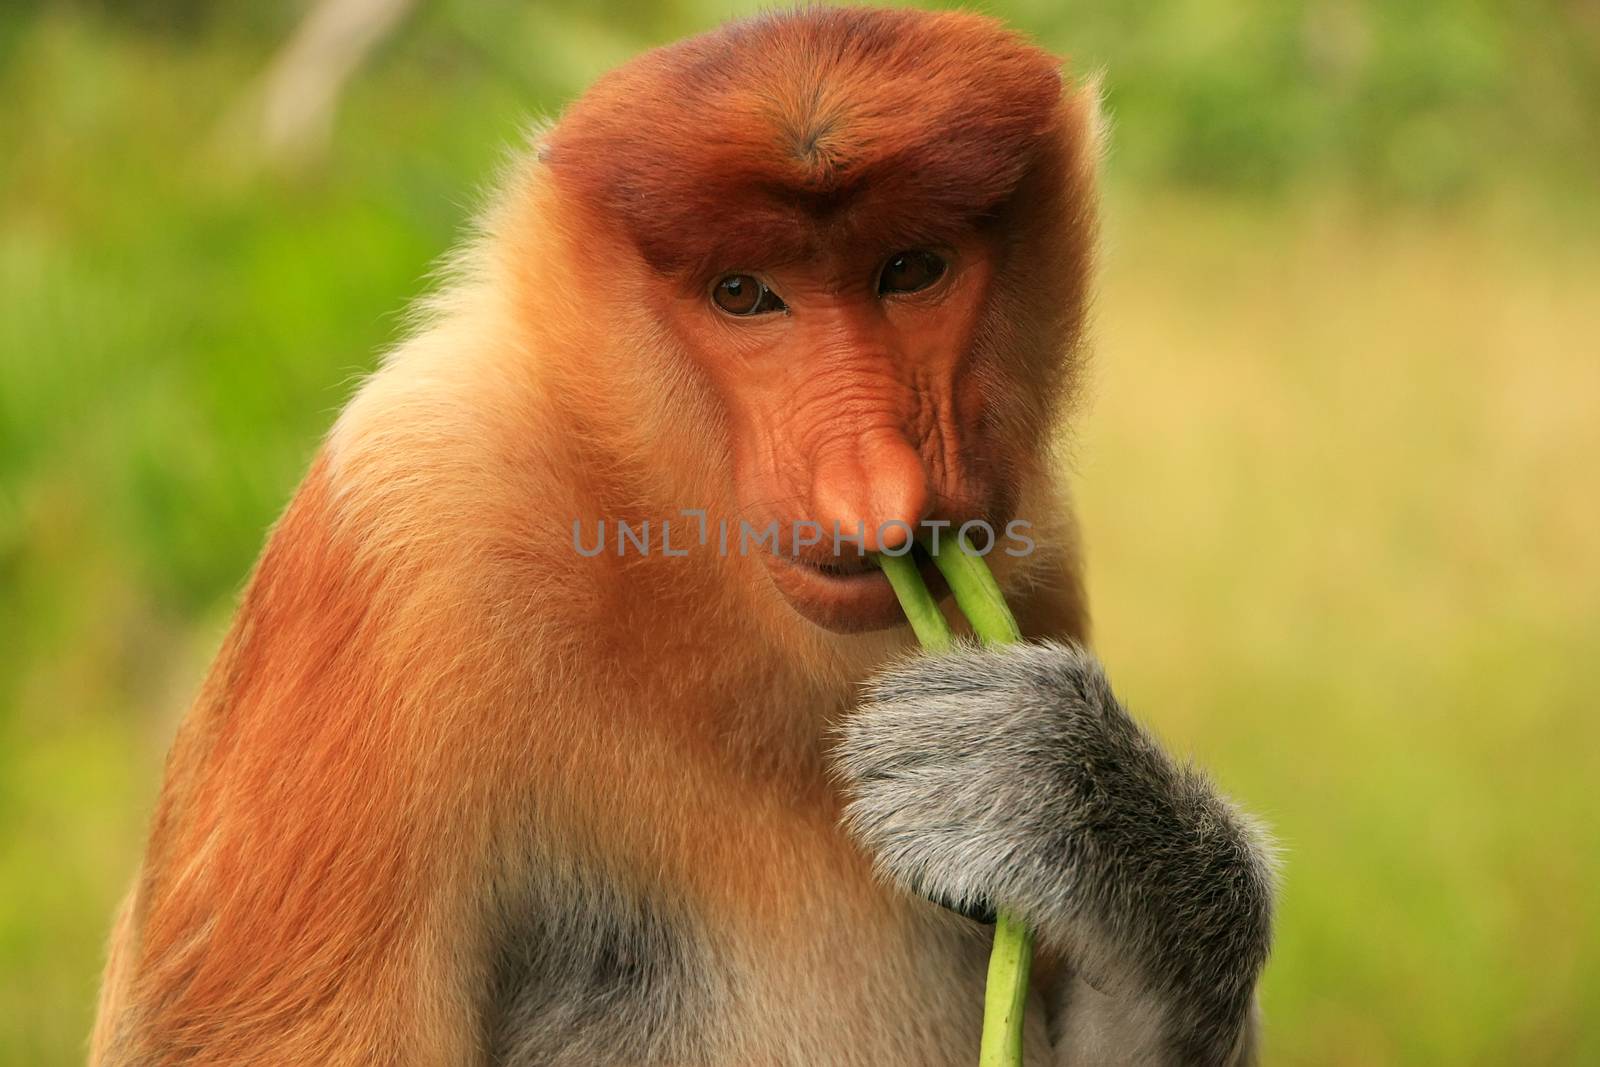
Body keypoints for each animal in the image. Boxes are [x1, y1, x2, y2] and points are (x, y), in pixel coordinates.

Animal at [96, 8, 1273, 1067]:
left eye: (911, 269)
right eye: (743, 294)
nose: (875, 494)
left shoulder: (1036, 552)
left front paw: (1062, 794)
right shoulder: (407, 528)